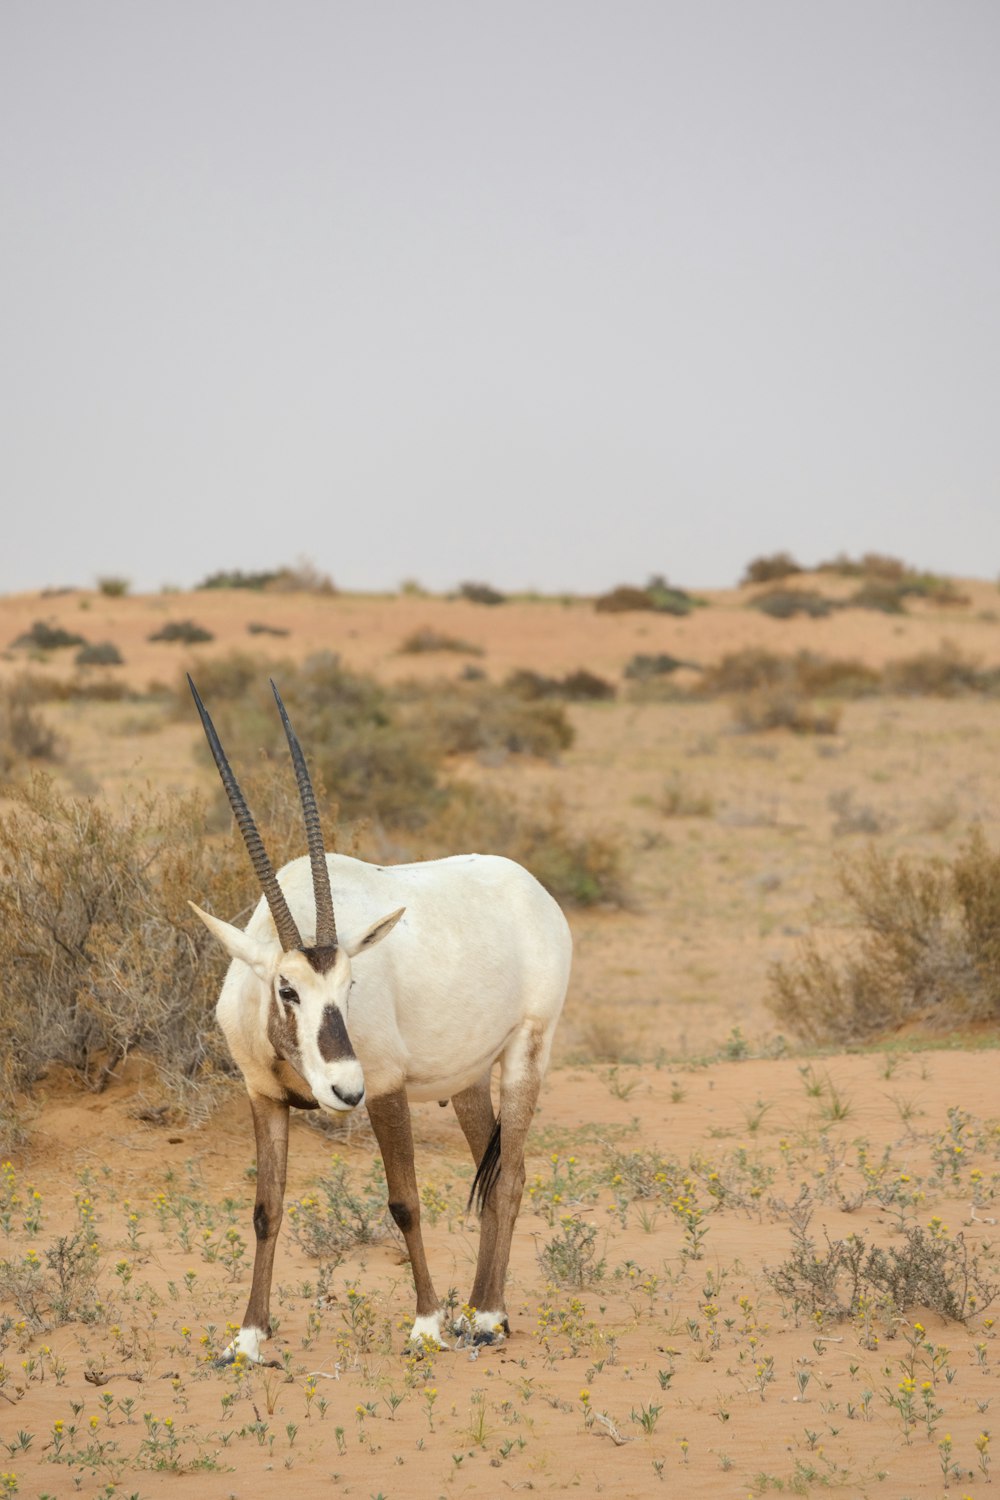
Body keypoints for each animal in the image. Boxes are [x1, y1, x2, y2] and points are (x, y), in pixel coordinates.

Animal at [186, 681, 569, 1362]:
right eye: (287, 989)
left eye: (350, 985)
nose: (344, 1089)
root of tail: (534, 891)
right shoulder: (263, 1096)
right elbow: (265, 1208)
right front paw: (249, 1337)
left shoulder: (385, 1087)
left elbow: (404, 1201)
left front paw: (426, 1324)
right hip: (467, 1080)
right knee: (498, 1169)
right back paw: (479, 1310)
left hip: (529, 1049)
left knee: (510, 1175)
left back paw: (487, 1317)